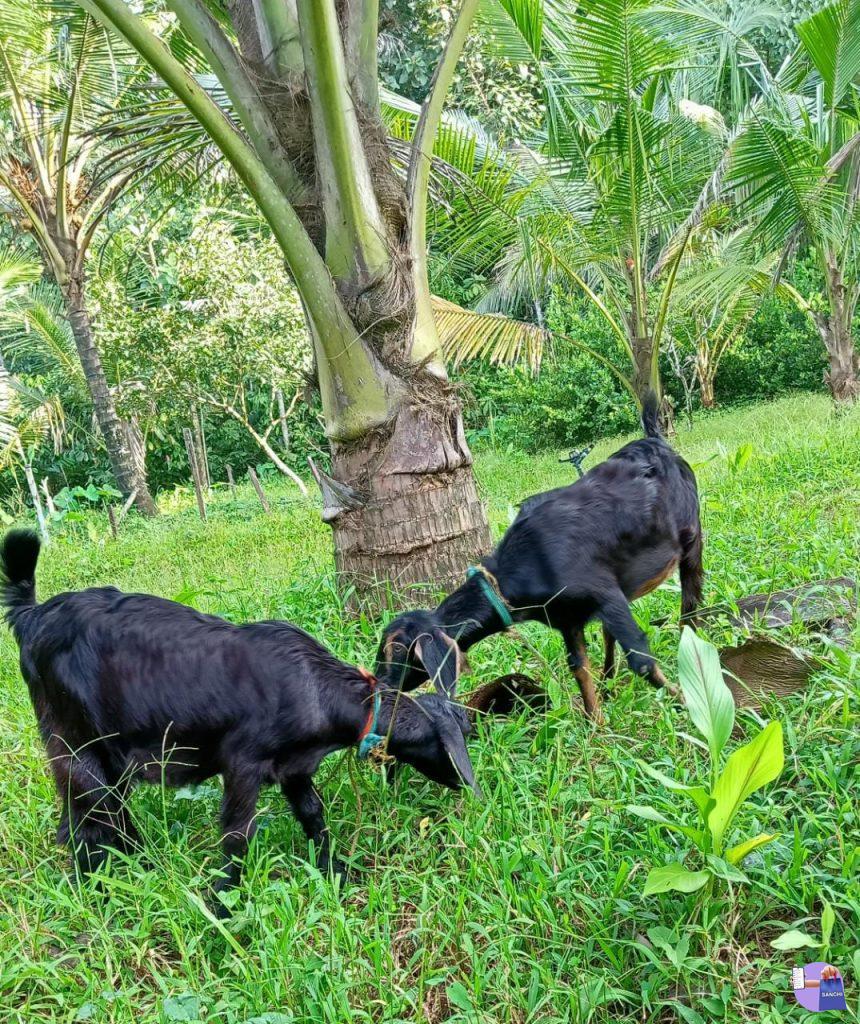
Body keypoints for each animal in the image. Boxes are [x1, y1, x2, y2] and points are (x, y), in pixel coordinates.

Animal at [1, 530, 478, 908]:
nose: (466, 787)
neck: (314, 688)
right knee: (86, 818)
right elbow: (237, 836)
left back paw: (136, 862)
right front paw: (222, 905)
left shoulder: (295, 768)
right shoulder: (243, 765)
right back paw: (94, 887)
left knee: (97, 812)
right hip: (72, 741)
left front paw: (335, 869)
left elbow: (312, 815)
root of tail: (32, 617)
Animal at [376, 393, 703, 722]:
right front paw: (596, 723)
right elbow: (579, 669)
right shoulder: (569, 619)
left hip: (692, 539)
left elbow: (641, 660)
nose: (381, 685)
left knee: (689, 603)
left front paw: (687, 705)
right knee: (610, 633)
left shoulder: (604, 593)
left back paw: (696, 652)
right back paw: (609, 681)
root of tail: (656, 440)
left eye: (397, 650)